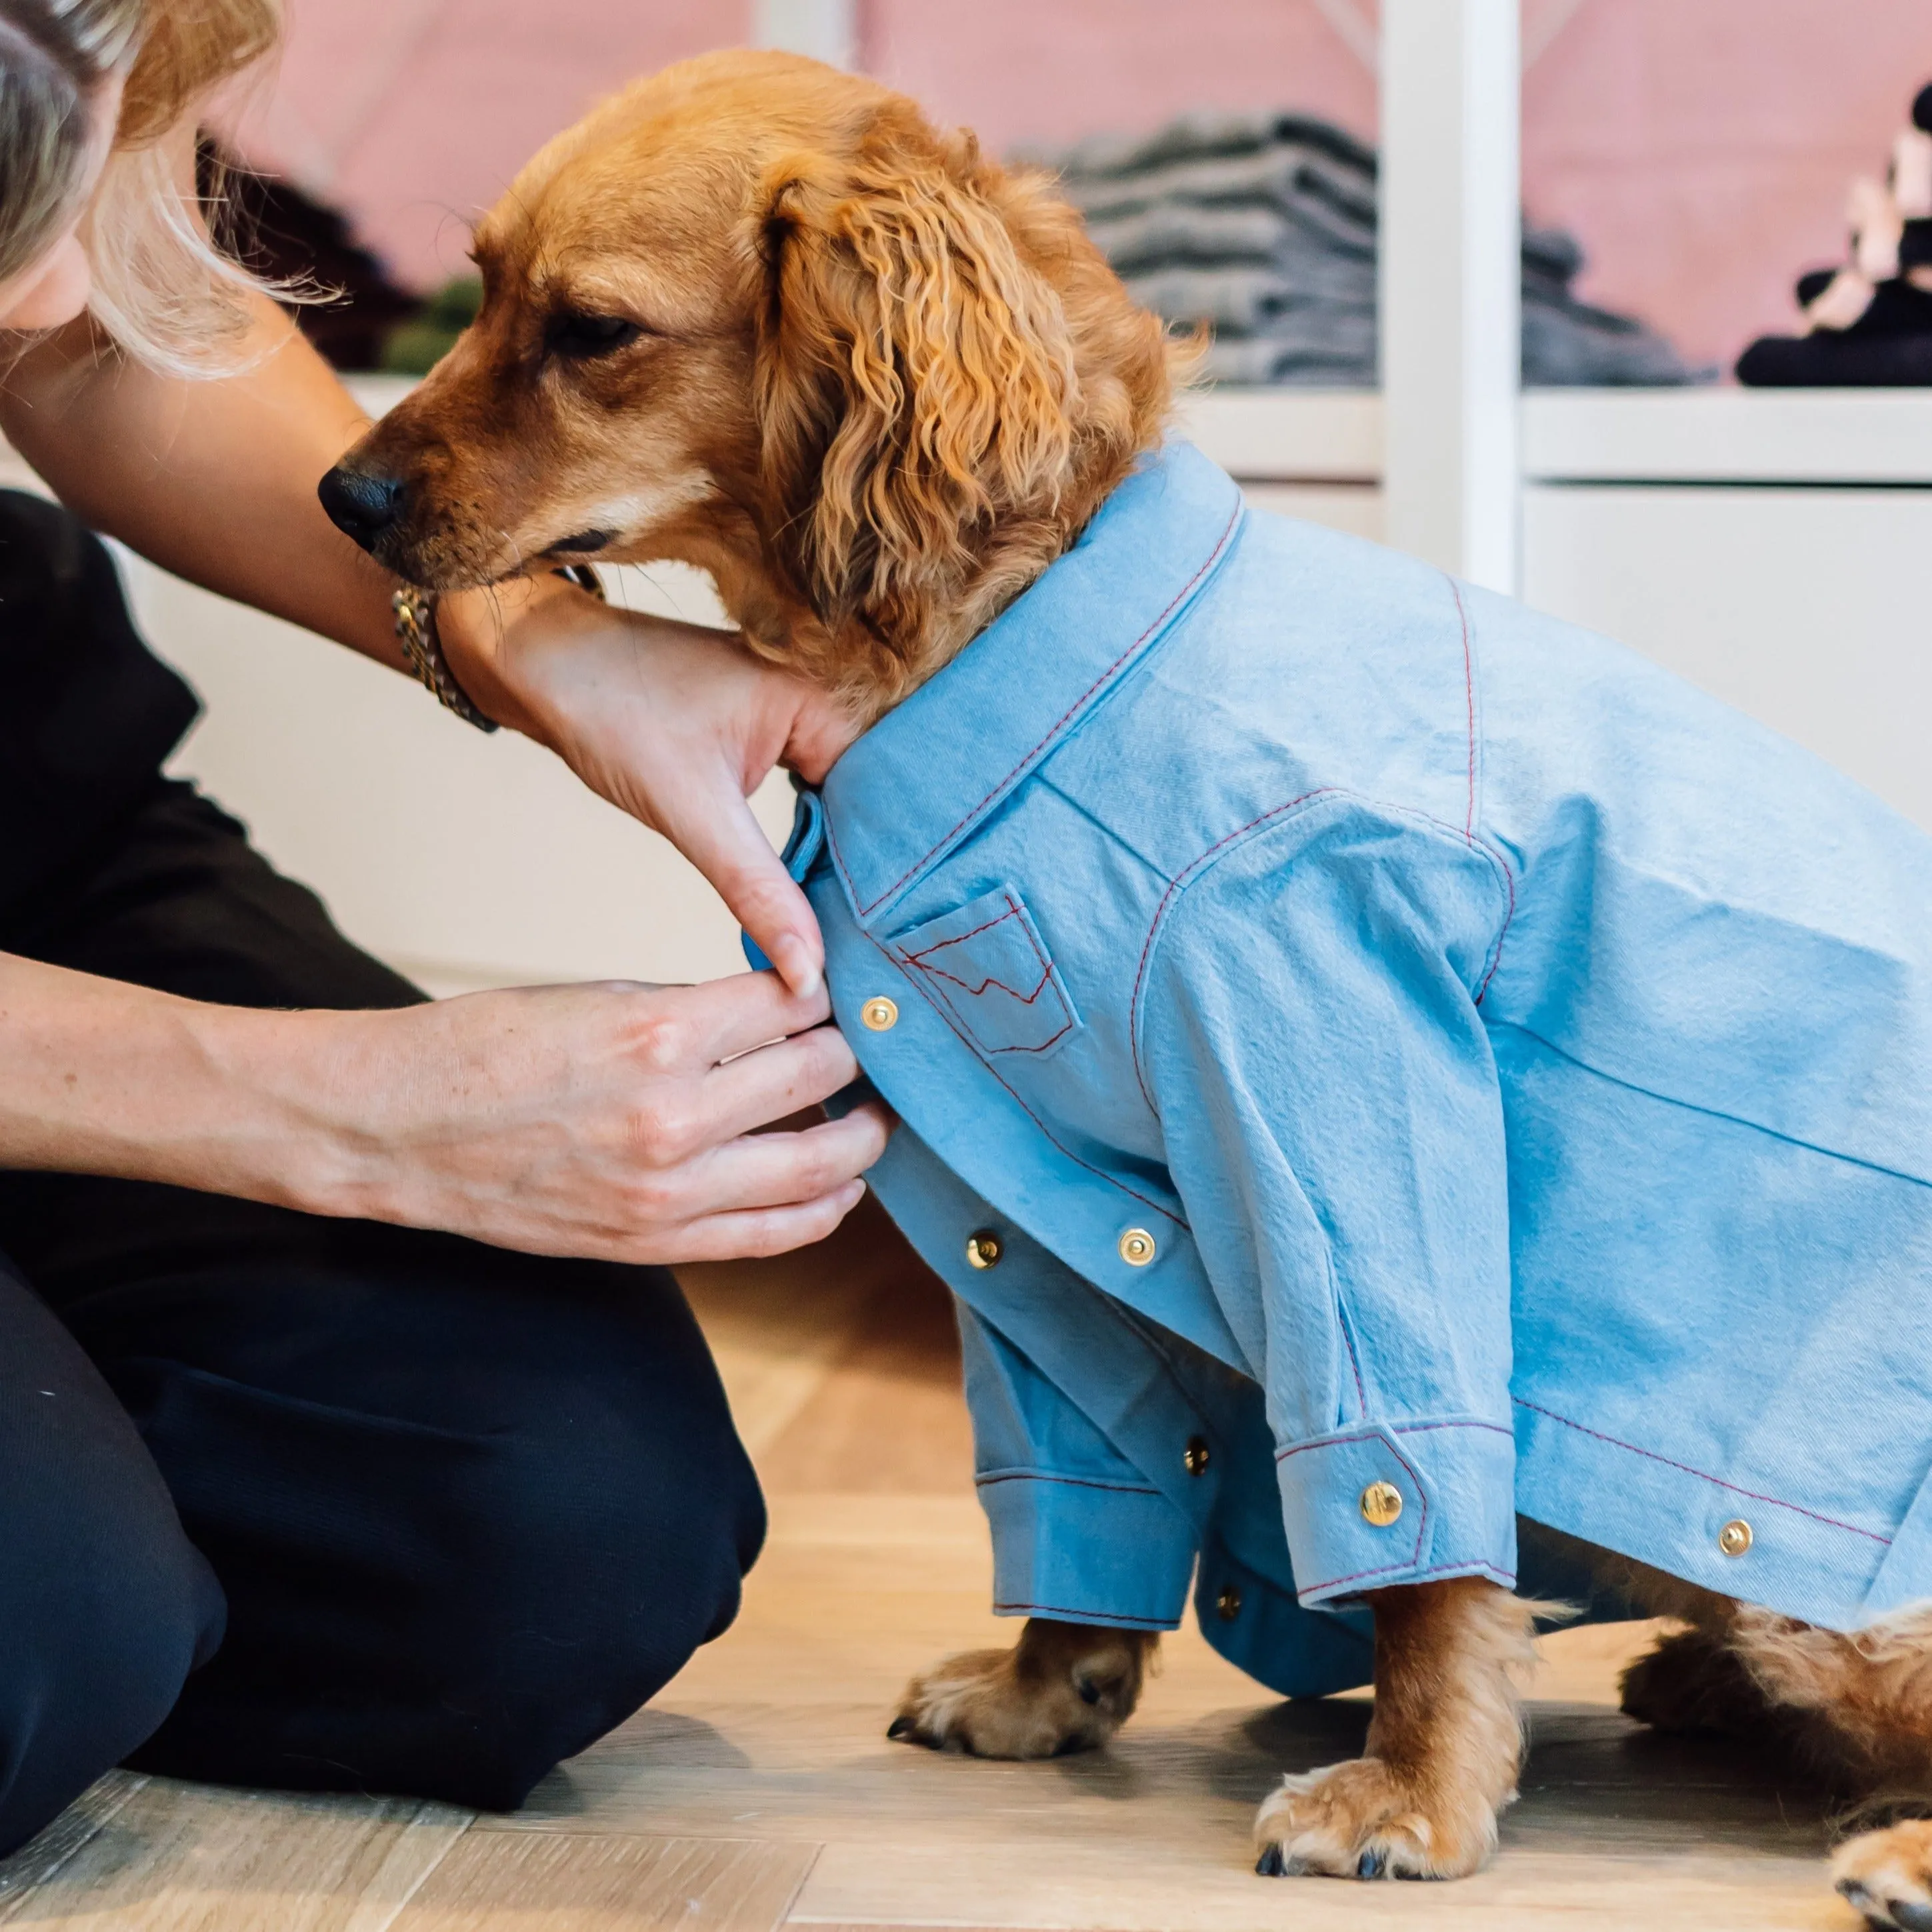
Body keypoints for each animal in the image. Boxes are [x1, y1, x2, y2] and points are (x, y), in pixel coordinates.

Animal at [321, 45, 1932, 1916]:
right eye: (480, 285)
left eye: (591, 330)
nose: (338, 498)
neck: (1031, 626)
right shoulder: (1013, 1204)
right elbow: (1083, 1463)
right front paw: (1049, 1686)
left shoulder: (1342, 1090)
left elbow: (1412, 1519)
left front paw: (1414, 1795)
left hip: (1830, 1599)